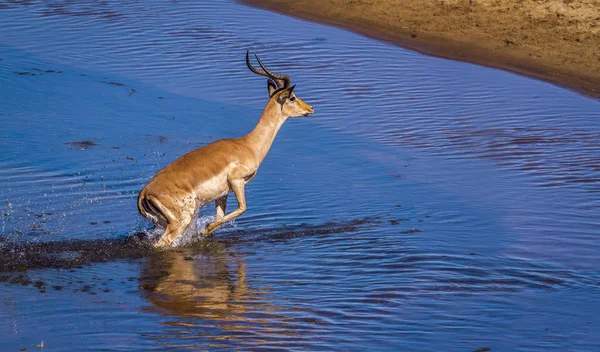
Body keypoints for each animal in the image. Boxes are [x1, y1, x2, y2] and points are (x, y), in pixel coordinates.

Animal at [137, 51, 314, 248]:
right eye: (292, 97)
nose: (310, 108)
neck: (248, 145)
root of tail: (145, 192)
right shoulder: (237, 181)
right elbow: (243, 208)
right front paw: (206, 228)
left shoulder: (221, 195)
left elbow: (220, 217)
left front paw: (206, 230)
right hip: (180, 221)